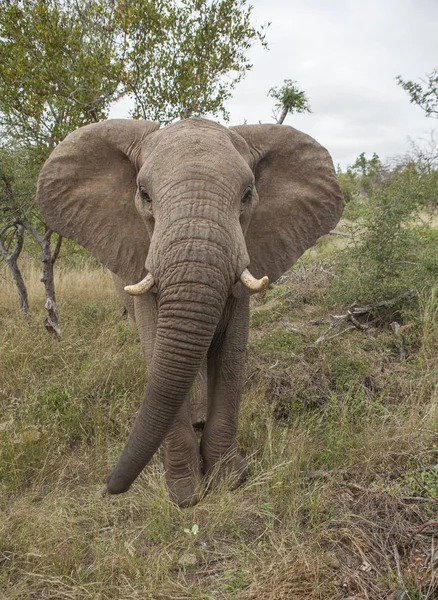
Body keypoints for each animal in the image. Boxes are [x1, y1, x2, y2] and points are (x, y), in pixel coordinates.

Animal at [36, 117, 344, 506]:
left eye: (247, 194)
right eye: (144, 194)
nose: (108, 486)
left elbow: (230, 355)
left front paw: (228, 481)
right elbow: (156, 350)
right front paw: (185, 496)